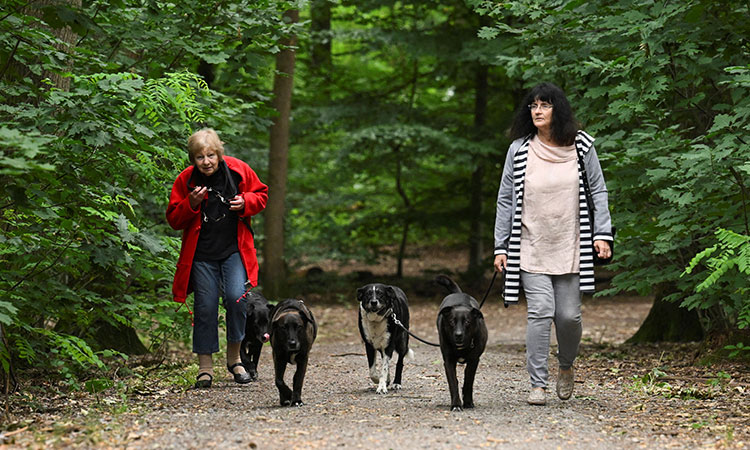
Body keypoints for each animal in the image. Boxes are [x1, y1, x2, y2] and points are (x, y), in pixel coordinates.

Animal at [438, 274, 490, 412]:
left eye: (467, 322)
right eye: (451, 321)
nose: (458, 335)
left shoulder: (474, 360)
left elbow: (468, 382)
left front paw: (468, 402)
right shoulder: (448, 361)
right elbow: (453, 383)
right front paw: (456, 404)